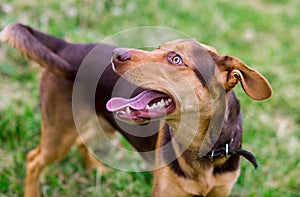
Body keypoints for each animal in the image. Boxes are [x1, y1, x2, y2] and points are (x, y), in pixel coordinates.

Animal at [0, 23, 272, 197]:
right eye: (158, 47)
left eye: (175, 59)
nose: (116, 54)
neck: (202, 148)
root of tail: (66, 46)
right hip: (59, 133)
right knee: (33, 160)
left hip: (101, 121)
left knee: (82, 141)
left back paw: (97, 170)